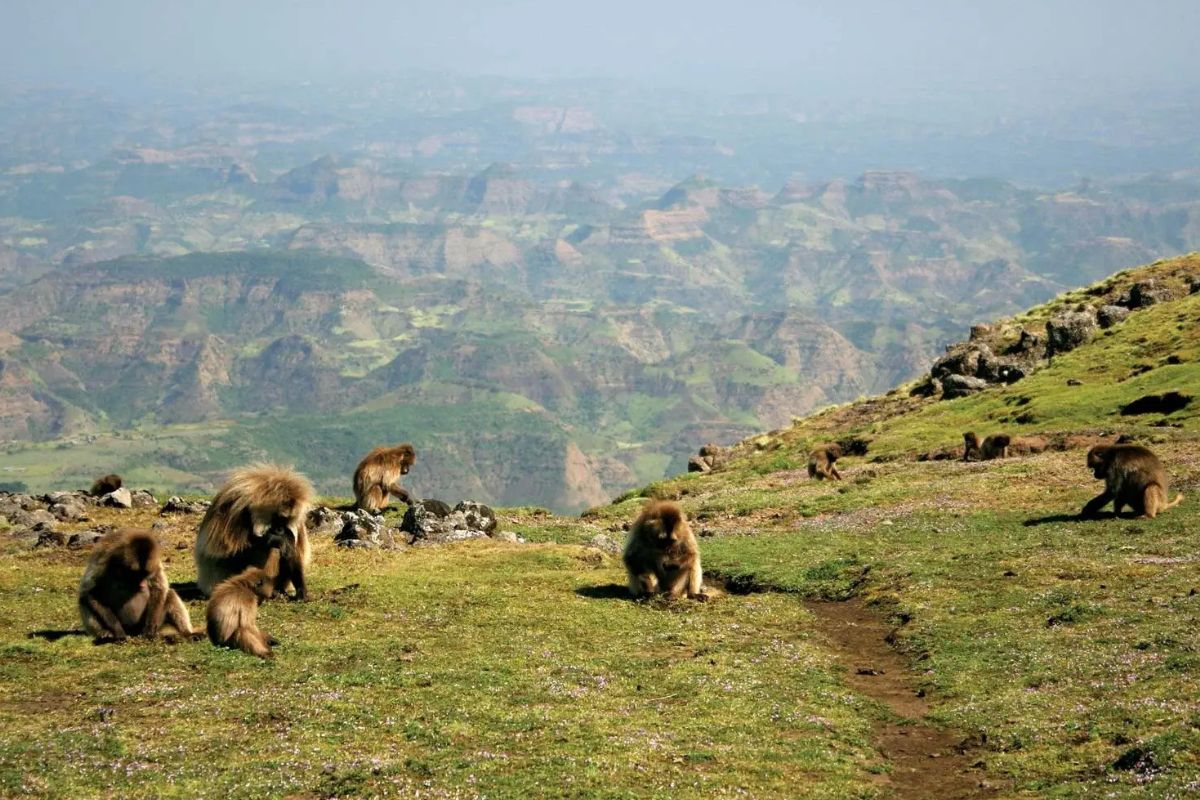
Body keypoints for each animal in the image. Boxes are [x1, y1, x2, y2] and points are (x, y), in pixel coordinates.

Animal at [194, 463, 313, 599]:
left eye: (286, 520)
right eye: (279, 518)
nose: (280, 530)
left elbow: (293, 554)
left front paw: (301, 591)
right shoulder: (233, 509)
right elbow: (223, 554)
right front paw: (275, 539)